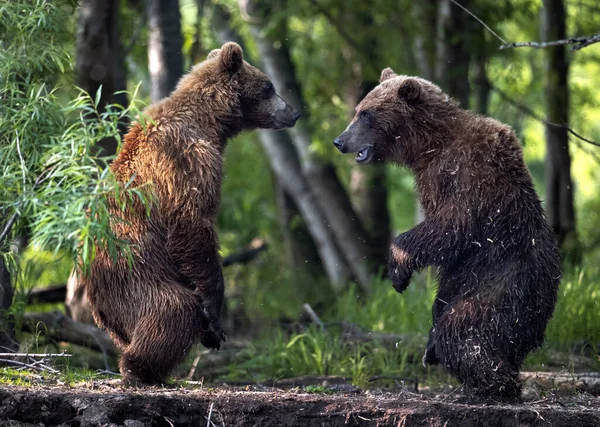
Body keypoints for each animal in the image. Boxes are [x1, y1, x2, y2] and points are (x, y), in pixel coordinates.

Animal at [84, 43, 300, 388]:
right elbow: (192, 223)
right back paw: (141, 368)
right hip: (134, 270)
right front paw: (214, 315)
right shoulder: (187, 159)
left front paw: (213, 331)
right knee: (172, 310)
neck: (211, 123)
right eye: (269, 87)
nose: (293, 113)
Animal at [332, 69, 564, 402]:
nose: (339, 141)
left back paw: (495, 386)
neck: (428, 145)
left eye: (366, 114)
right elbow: (445, 255)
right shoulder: (433, 183)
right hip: (478, 279)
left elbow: (452, 226)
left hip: (504, 279)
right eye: (358, 110)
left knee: (464, 329)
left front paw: (398, 272)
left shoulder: (465, 174)